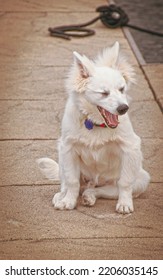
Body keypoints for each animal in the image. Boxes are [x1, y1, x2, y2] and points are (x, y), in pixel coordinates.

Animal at [37, 41, 150, 213]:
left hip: (141, 178)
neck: (96, 123)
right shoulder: (67, 148)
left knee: (102, 190)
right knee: (67, 183)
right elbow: (72, 181)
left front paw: (124, 203)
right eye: (104, 93)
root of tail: (93, 182)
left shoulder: (131, 148)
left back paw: (89, 196)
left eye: (122, 89)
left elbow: (124, 183)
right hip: (62, 159)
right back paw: (61, 196)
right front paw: (68, 201)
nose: (124, 108)